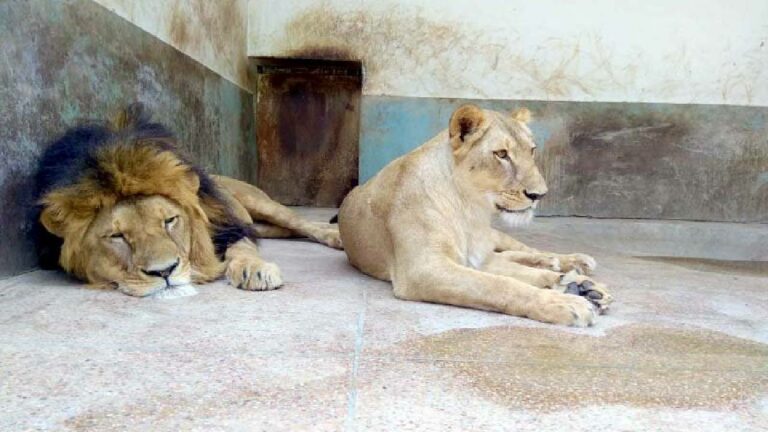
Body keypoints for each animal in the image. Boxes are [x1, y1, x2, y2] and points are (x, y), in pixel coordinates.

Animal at [33, 104, 341, 297]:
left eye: (170, 220)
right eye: (116, 236)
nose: (164, 272)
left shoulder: (228, 226)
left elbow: (242, 249)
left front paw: (255, 270)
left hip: (259, 203)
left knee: (301, 223)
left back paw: (336, 234)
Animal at [337, 104, 613, 326]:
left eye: (532, 151)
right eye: (501, 154)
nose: (539, 194)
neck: (469, 209)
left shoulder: (477, 259)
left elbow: (515, 274)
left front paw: (577, 290)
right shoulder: (424, 268)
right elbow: (500, 284)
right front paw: (566, 303)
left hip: (498, 238)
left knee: (525, 251)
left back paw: (578, 271)